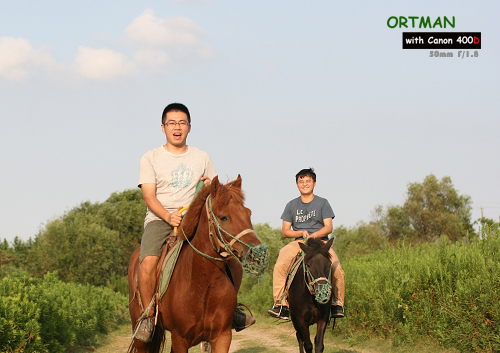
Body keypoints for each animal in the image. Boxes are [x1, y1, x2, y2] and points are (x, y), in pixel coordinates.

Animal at [129, 175, 270, 352]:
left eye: (248, 214)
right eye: (223, 217)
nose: (258, 254)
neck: (203, 284)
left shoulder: (222, 337)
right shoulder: (180, 339)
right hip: (141, 337)